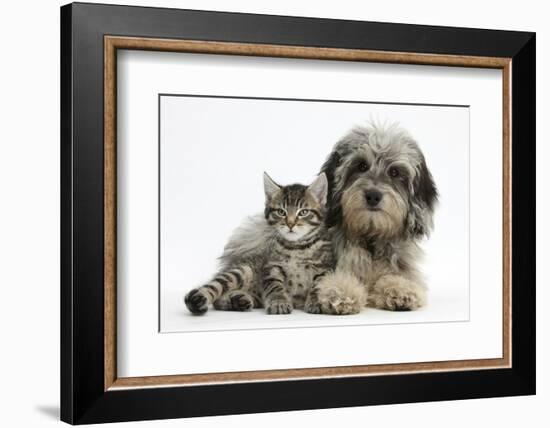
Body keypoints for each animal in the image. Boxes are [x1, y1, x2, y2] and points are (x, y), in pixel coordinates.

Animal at [314, 123, 440, 314]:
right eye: (361, 165)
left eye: (394, 172)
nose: (373, 196)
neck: (371, 238)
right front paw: (341, 291)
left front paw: (400, 289)